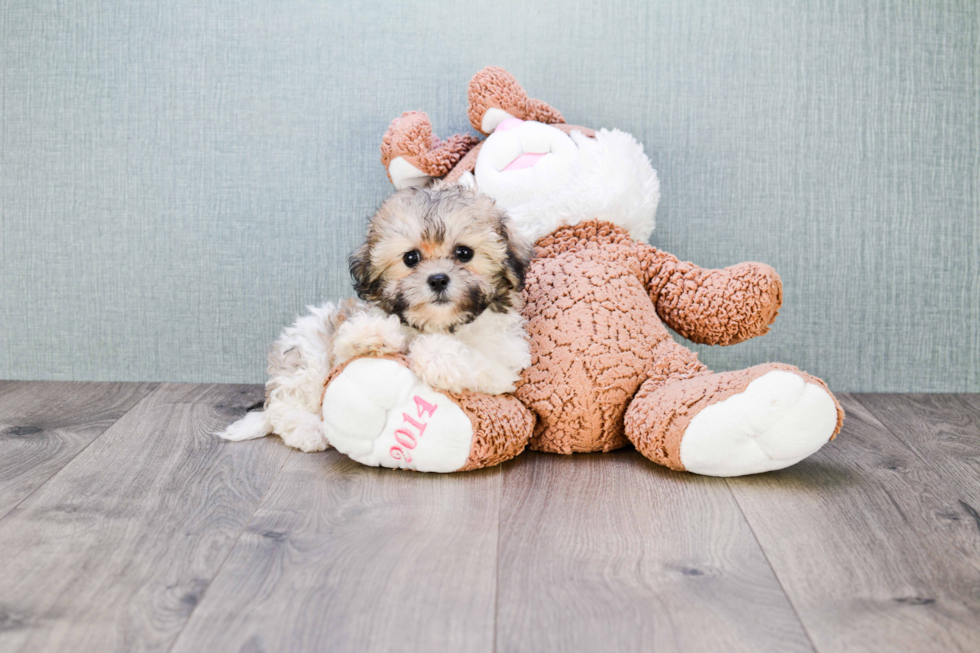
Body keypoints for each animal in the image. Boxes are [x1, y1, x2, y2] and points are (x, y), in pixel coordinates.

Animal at [217, 181, 532, 450]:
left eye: (464, 253)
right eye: (411, 258)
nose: (438, 279)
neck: (438, 324)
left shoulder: (505, 364)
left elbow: (474, 359)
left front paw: (435, 354)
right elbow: (354, 337)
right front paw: (373, 333)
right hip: (307, 349)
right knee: (287, 403)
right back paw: (309, 429)